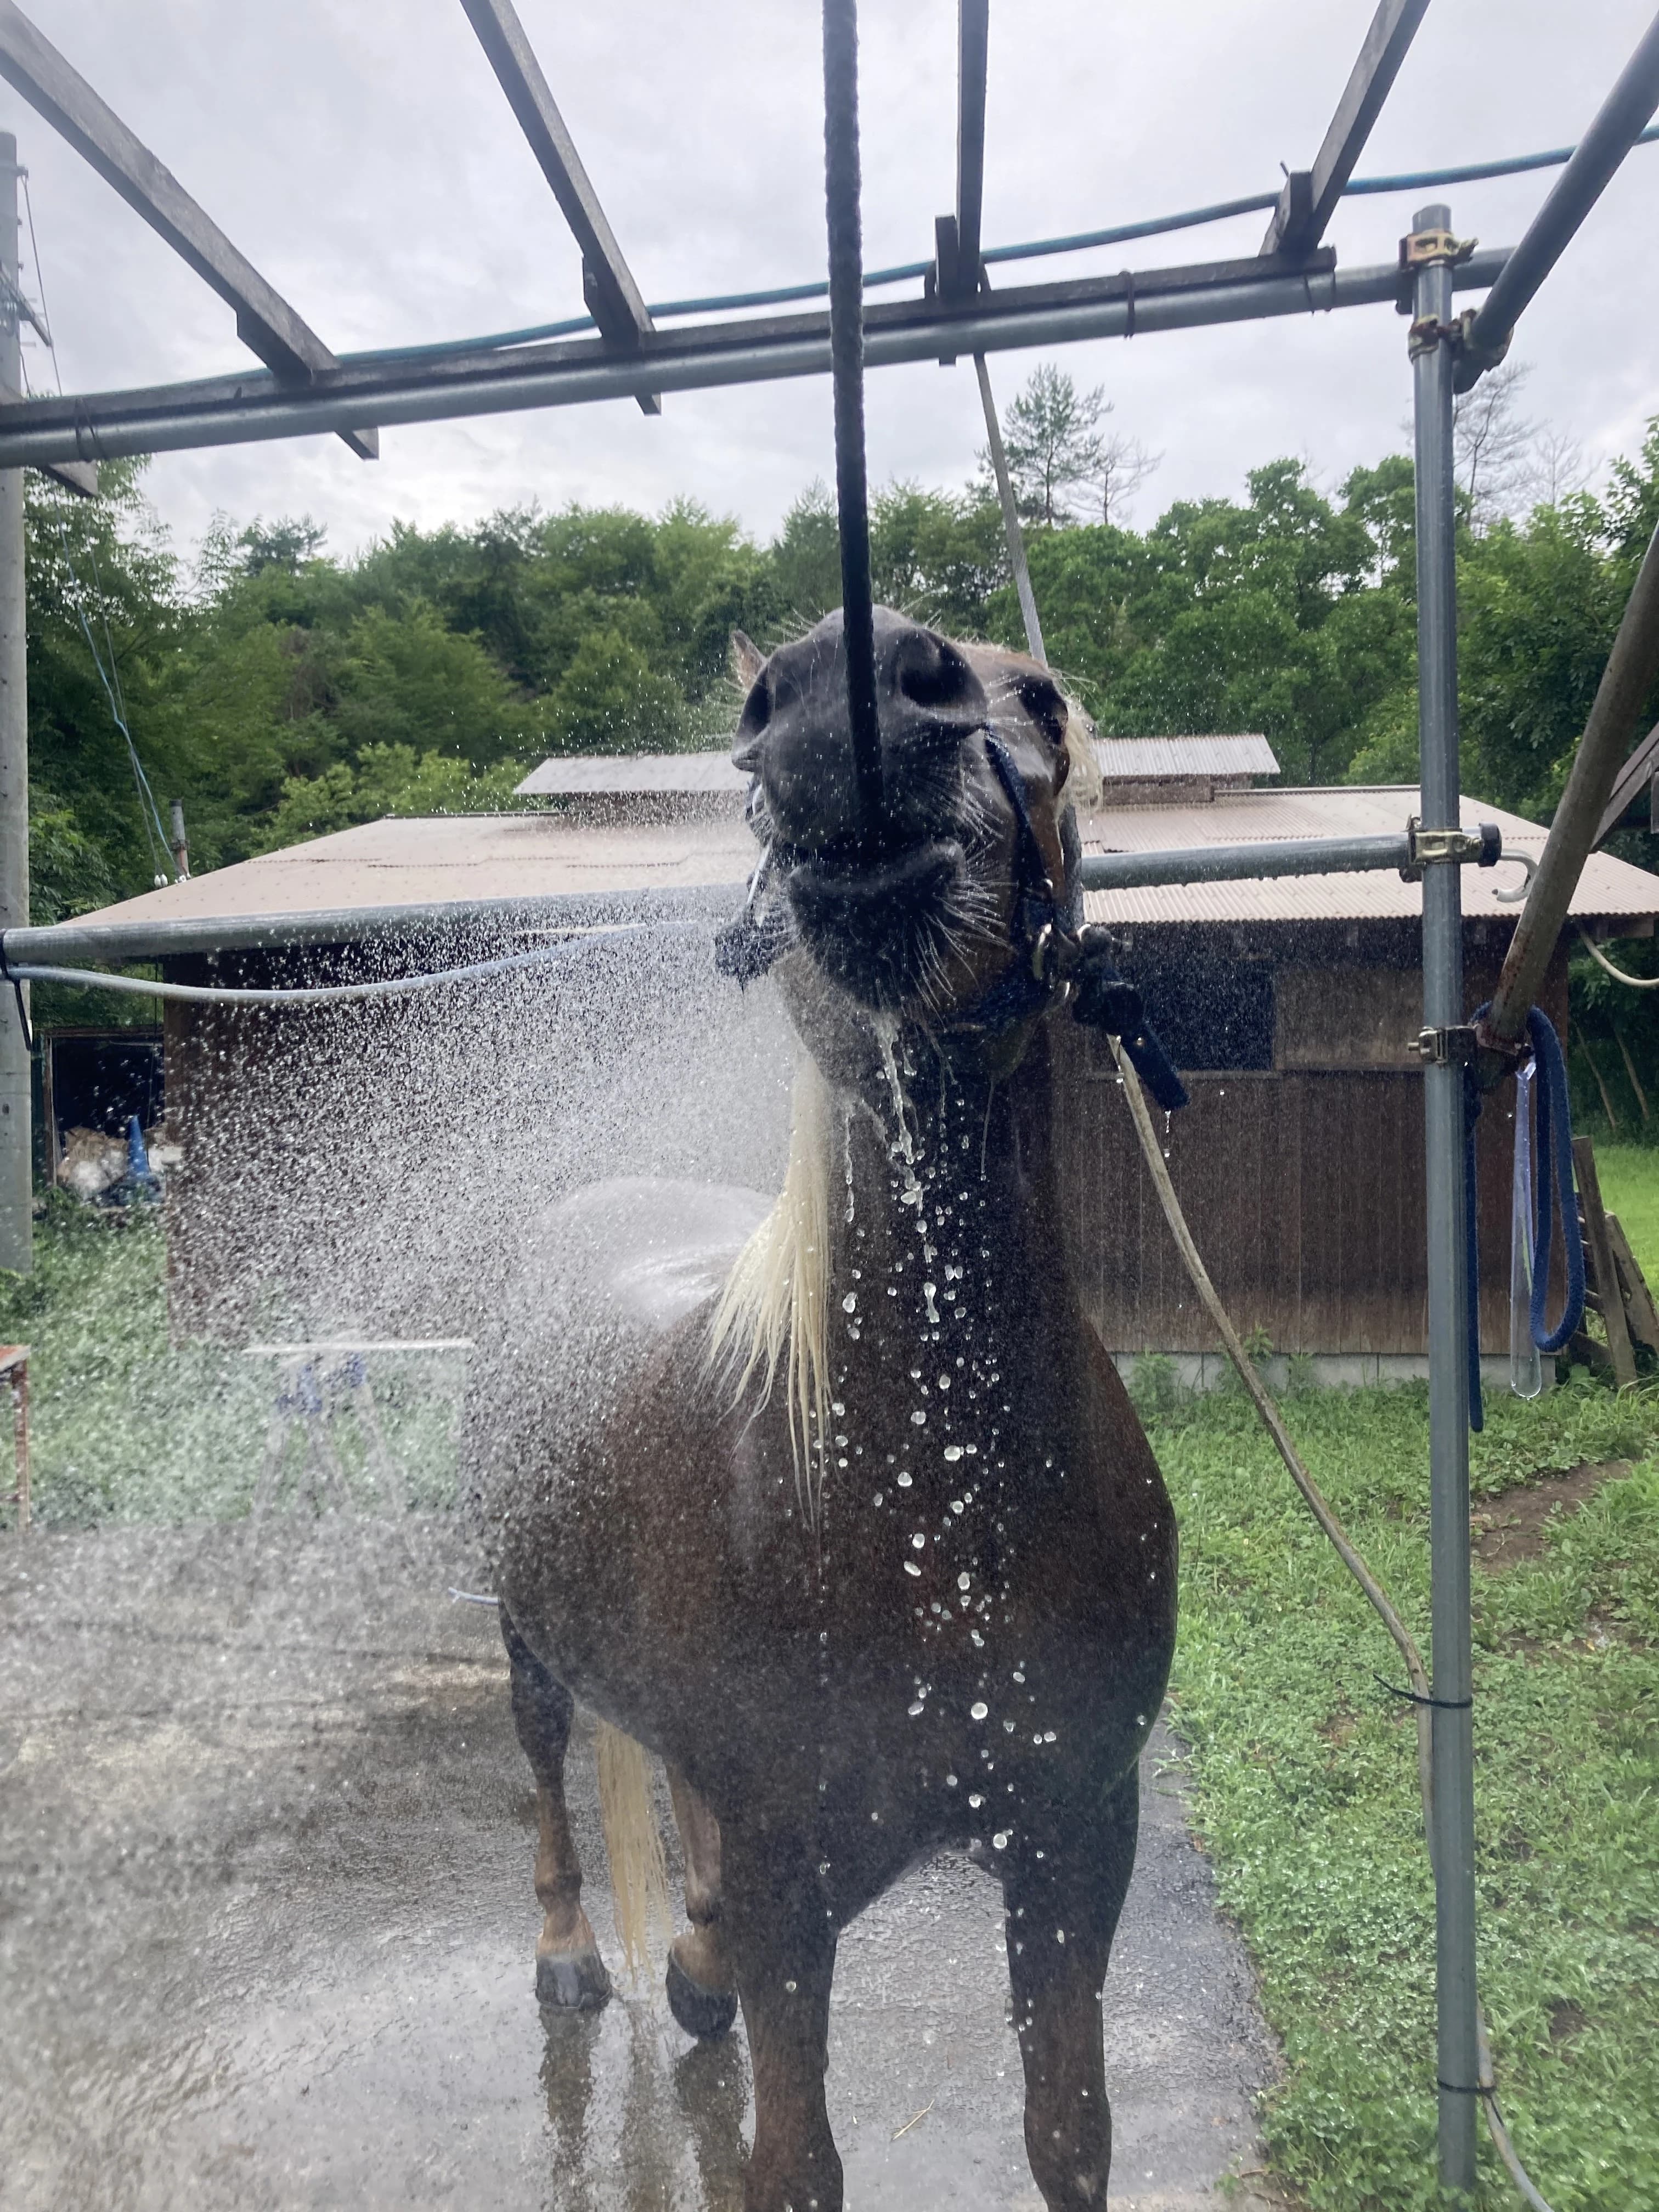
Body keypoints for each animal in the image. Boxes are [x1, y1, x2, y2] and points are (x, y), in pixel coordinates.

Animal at [475, 605, 1178, 2212]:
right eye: (754, 727)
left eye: (1043, 698)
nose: (854, 693)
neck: (941, 1520)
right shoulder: (801, 1901)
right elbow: (791, 2161)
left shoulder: (1073, 1846)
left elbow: (1072, 2137)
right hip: (523, 1638)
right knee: (546, 1768)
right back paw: (571, 1956)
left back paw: (689, 1964)